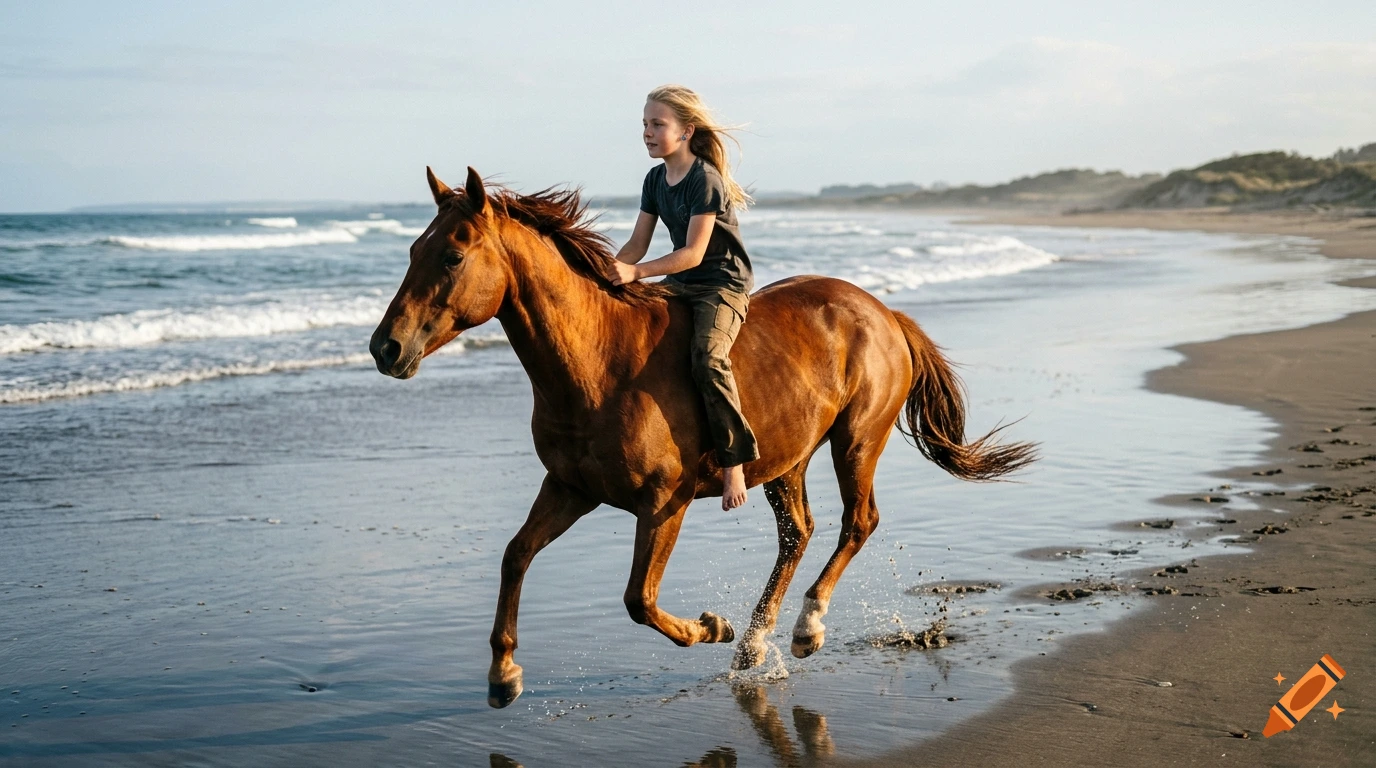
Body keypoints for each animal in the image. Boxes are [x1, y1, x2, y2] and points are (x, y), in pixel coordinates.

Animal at [369, 167, 1036, 709]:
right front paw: (503, 675)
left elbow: (638, 598)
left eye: (453, 257)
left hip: (856, 440)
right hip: (785, 458)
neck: (601, 365)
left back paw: (805, 628)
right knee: (798, 533)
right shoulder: (570, 488)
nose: (385, 348)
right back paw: (755, 643)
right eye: (414, 248)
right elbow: (515, 555)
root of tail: (882, 312)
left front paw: (710, 628)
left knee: (857, 522)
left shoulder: (665, 502)